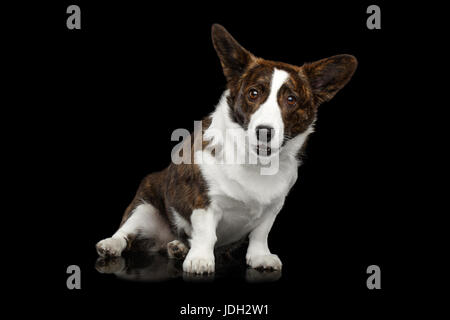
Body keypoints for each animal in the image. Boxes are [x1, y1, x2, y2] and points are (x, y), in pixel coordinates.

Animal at [96, 24, 356, 276]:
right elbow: (205, 233)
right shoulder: (204, 201)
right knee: (126, 232)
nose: (264, 131)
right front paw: (200, 260)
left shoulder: (273, 208)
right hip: (144, 205)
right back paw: (112, 244)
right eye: (253, 93)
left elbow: (261, 234)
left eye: (291, 99)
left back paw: (178, 247)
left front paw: (260, 257)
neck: (255, 162)